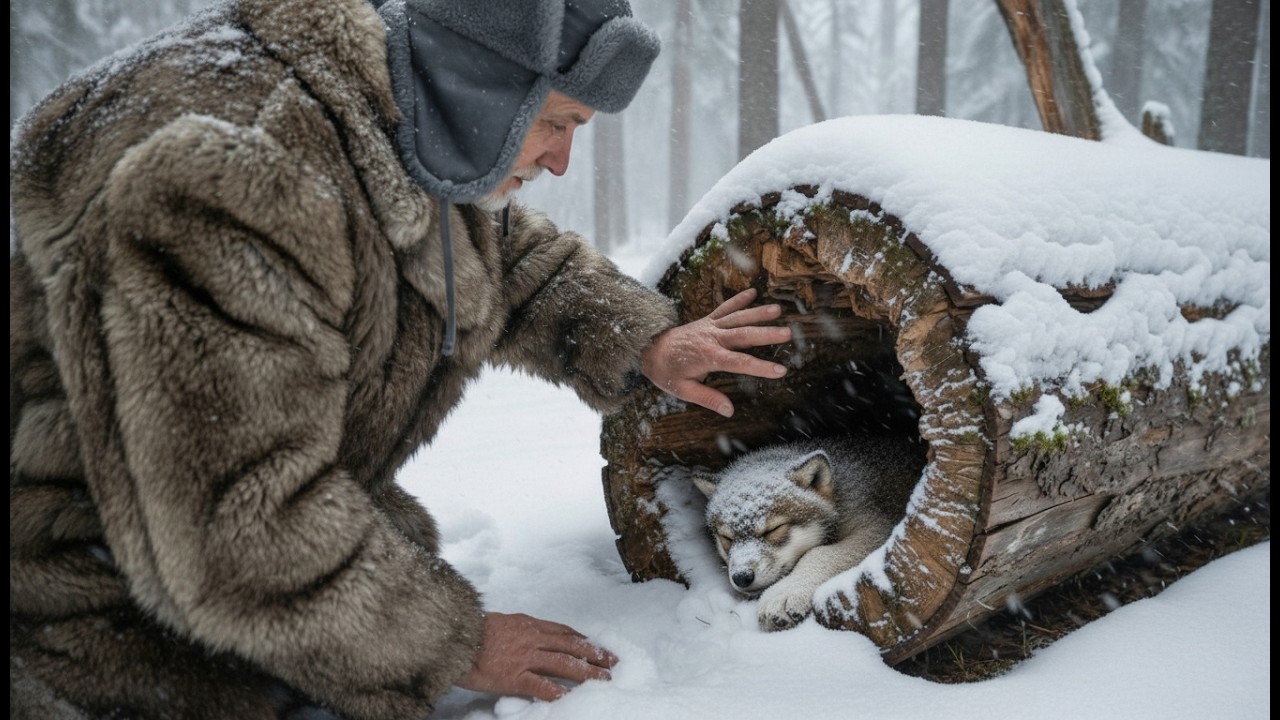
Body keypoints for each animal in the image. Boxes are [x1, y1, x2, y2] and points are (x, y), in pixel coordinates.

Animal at [693, 435, 924, 631]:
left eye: (773, 529)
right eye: (726, 538)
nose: (741, 577)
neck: (840, 499)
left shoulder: (876, 527)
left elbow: (820, 554)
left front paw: (786, 592)